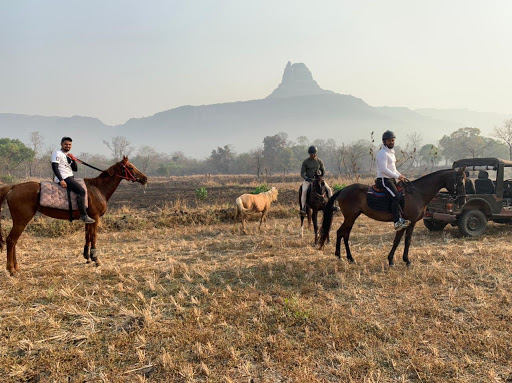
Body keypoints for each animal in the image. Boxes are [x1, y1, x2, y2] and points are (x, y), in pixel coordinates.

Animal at [0, 157, 148, 276]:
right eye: (130, 167)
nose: (145, 178)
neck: (97, 188)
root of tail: (13, 187)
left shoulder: (88, 219)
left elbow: (87, 236)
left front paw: (87, 257)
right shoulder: (95, 218)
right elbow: (94, 237)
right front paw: (96, 259)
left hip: (19, 221)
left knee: (14, 241)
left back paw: (16, 268)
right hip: (22, 220)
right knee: (11, 240)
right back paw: (11, 270)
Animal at [318, 169, 466, 268]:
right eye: (460, 181)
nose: (463, 201)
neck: (416, 194)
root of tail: (343, 190)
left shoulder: (411, 223)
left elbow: (407, 241)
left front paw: (406, 260)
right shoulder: (403, 222)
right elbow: (397, 241)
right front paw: (391, 260)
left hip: (352, 217)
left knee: (343, 233)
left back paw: (345, 257)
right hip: (350, 217)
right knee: (342, 233)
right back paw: (343, 256)